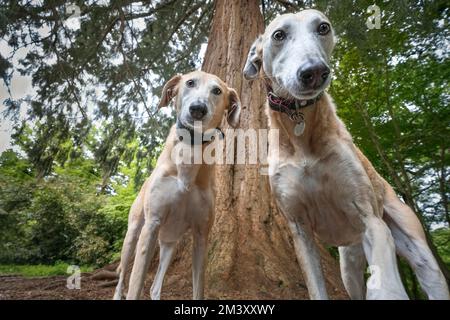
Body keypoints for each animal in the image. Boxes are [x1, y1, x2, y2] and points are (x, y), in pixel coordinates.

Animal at [113, 70, 239, 300]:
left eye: (217, 91)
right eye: (190, 83)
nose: (197, 109)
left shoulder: (201, 235)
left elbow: (198, 289)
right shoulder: (151, 225)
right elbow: (135, 286)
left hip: (169, 243)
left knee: (155, 286)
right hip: (133, 236)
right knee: (122, 279)